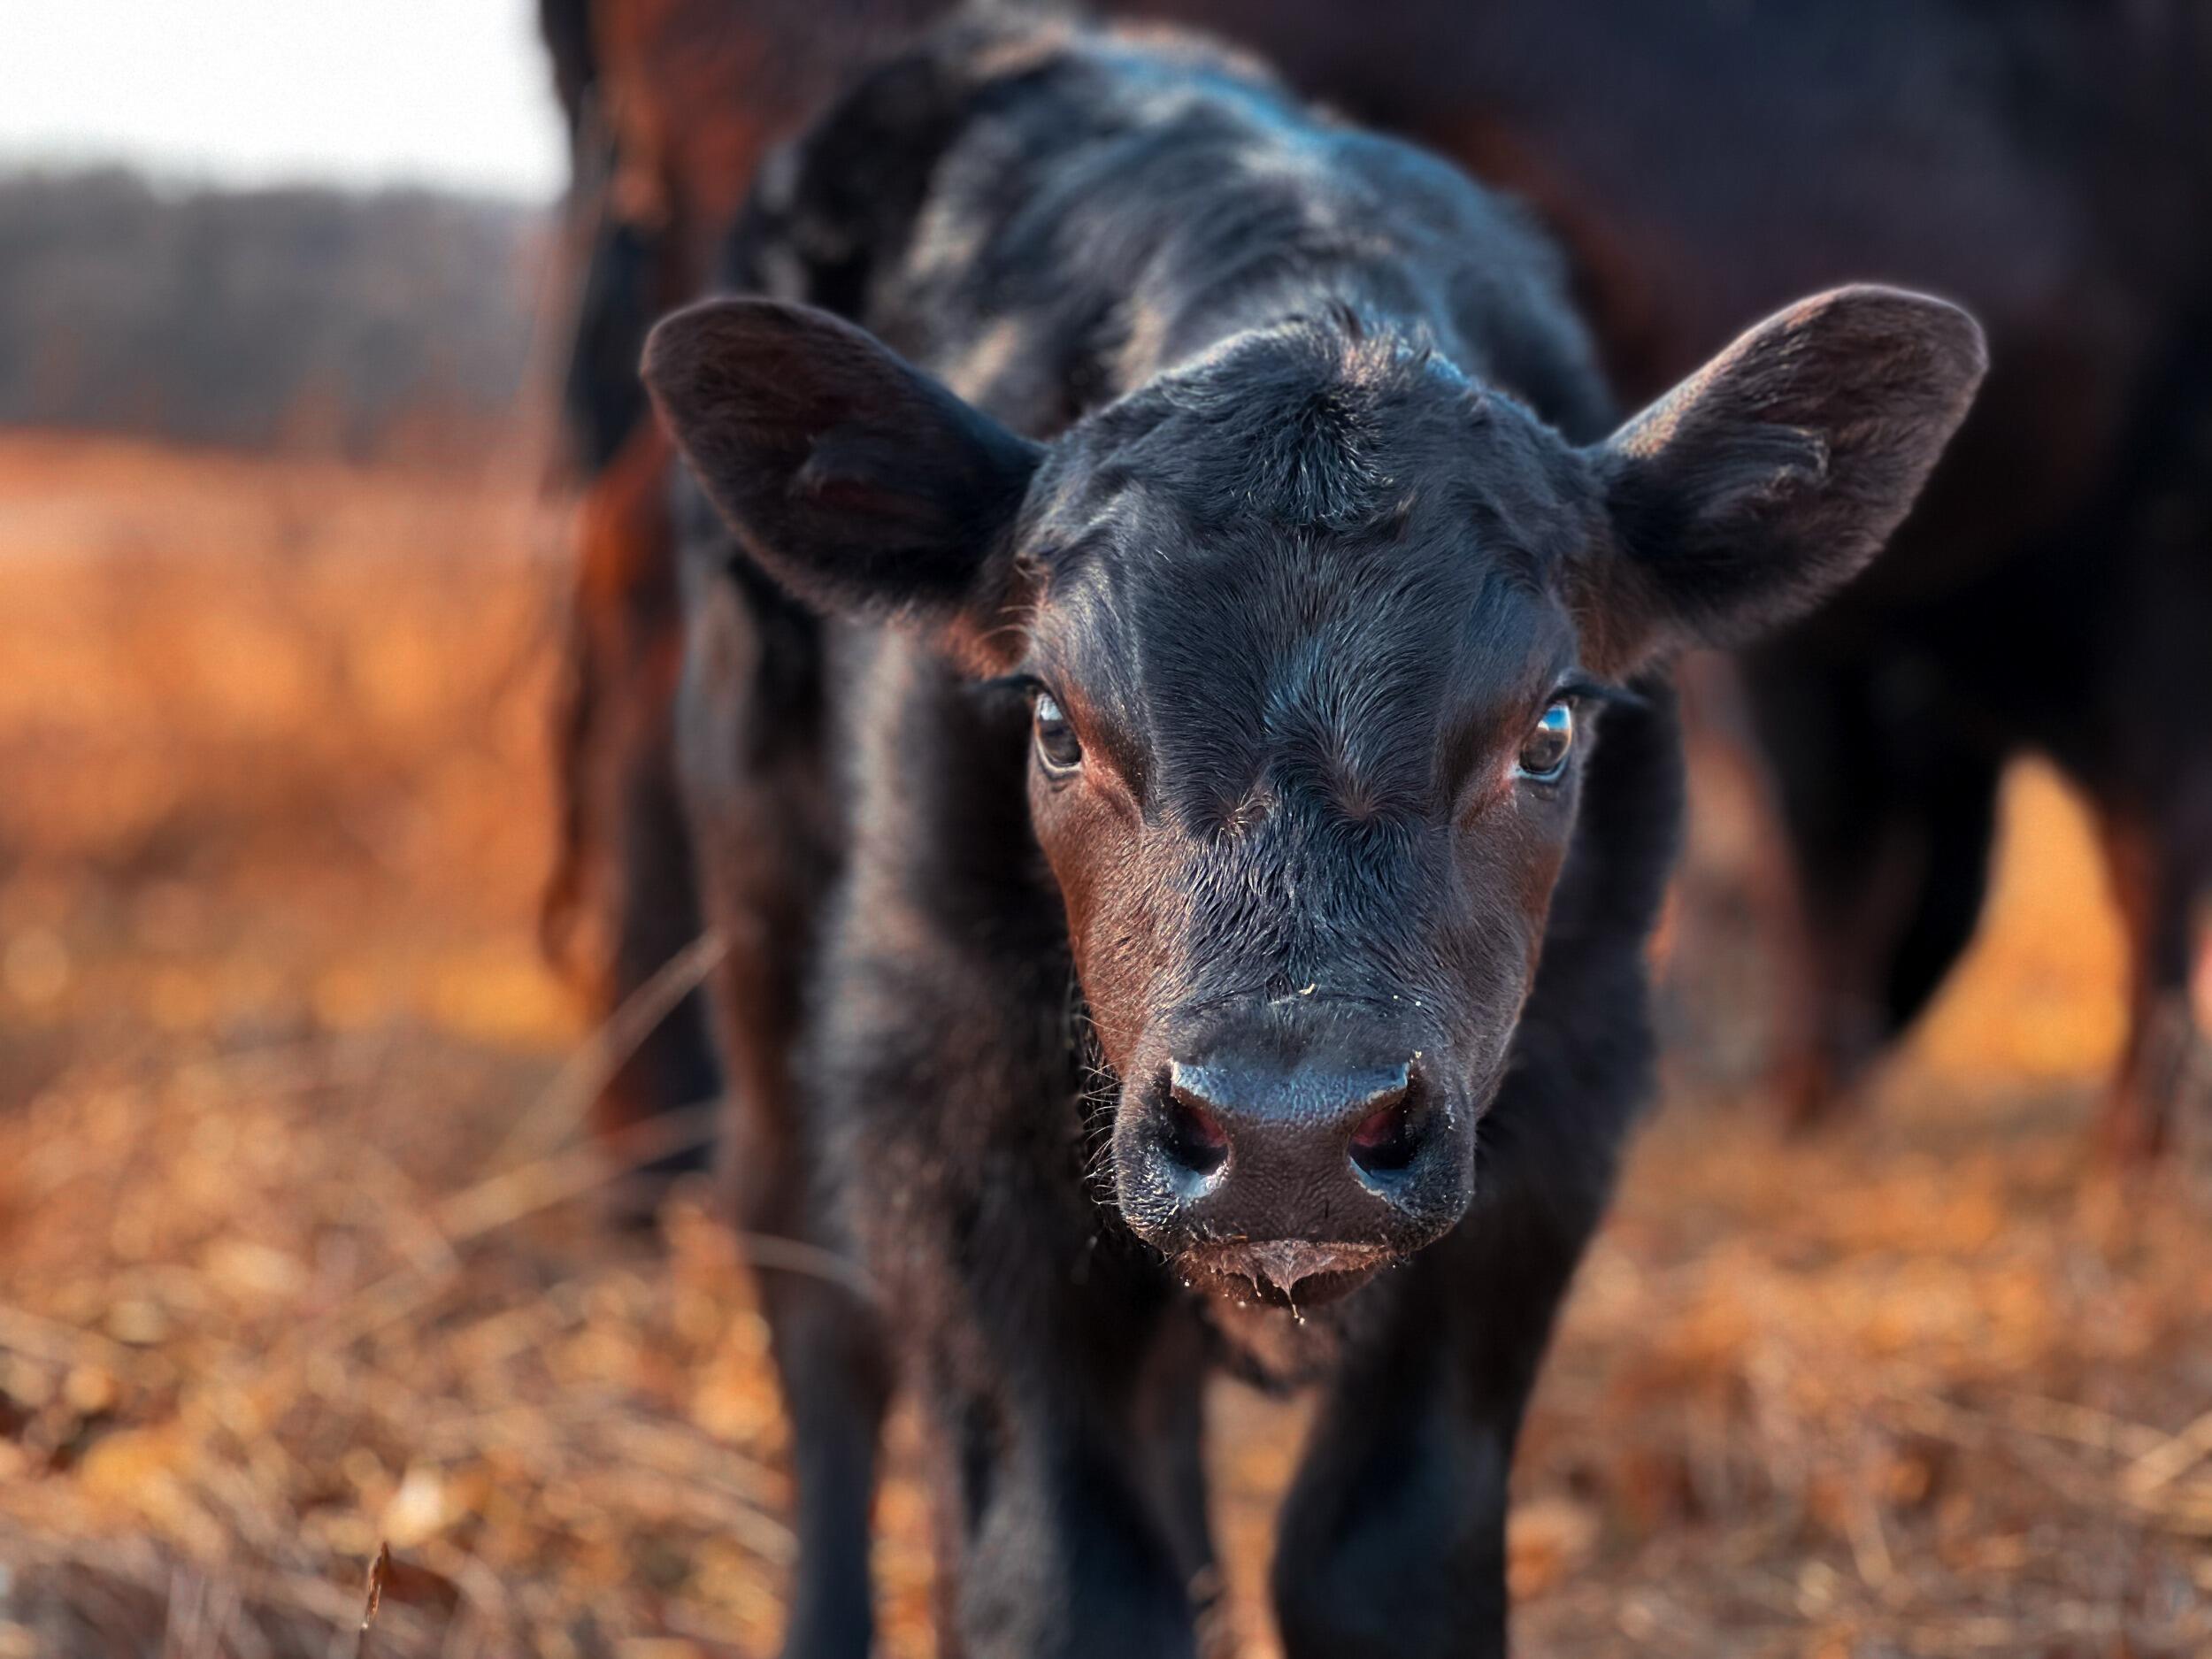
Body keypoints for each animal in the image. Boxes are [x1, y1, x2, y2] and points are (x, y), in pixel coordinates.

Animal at [640, 17, 1984, 1655]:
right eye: (1053, 722)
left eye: (1551, 729)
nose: (1290, 1137)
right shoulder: (941, 1067)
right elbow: (1062, 1570)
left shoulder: (1564, 1099)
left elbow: (1378, 1554)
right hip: (764, 898)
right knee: (812, 1292)